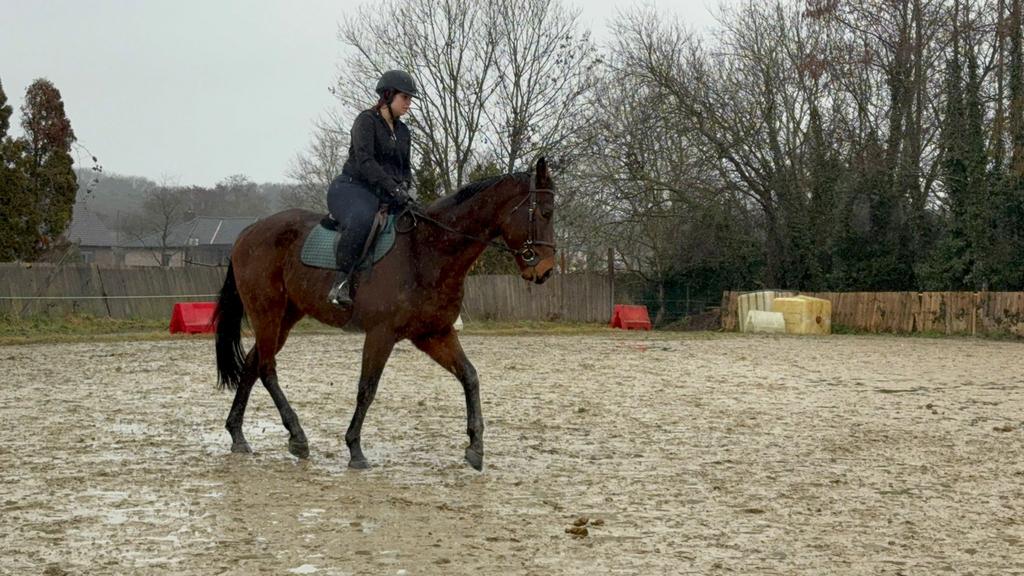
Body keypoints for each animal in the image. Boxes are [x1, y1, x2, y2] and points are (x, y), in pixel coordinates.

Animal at [213, 157, 556, 471]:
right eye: (545, 212)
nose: (545, 270)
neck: (428, 251)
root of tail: (249, 231)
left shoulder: (434, 334)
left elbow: (469, 376)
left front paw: (475, 447)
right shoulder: (382, 334)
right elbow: (367, 388)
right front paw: (355, 449)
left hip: (285, 317)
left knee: (252, 364)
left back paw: (238, 435)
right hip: (267, 311)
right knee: (267, 368)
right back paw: (297, 437)